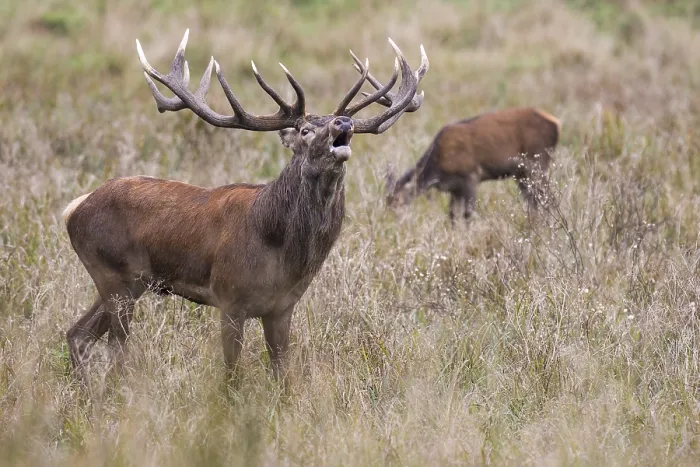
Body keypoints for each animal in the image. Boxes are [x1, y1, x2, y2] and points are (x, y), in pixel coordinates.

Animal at [62, 29, 428, 384]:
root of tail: (74, 208)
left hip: (130, 282)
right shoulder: (229, 298)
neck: (278, 248)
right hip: (110, 272)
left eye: (336, 122)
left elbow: (282, 374)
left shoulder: (282, 307)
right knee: (115, 349)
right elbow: (231, 373)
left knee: (78, 334)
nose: (343, 123)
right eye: (305, 130)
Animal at [383, 107, 561, 224]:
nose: (392, 222)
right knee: (534, 201)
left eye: (397, 200)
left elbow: (468, 214)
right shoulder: (454, 188)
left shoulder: (471, 175)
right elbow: (452, 216)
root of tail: (556, 124)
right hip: (521, 173)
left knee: (549, 199)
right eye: (387, 201)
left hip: (537, 162)